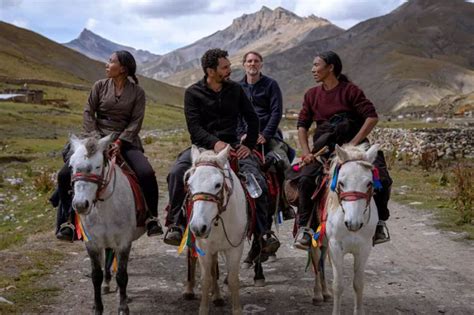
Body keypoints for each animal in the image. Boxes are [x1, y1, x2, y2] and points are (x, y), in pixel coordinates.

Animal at [67, 136, 143, 315]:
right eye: (71, 166)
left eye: (98, 166)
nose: (80, 205)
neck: (104, 206)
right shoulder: (92, 243)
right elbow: (96, 275)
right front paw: (97, 307)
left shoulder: (124, 242)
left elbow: (122, 275)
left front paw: (123, 307)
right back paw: (107, 283)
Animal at [183, 146, 246, 315]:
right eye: (189, 184)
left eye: (218, 184)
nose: (198, 227)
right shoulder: (203, 248)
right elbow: (205, 279)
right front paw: (203, 309)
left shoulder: (235, 249)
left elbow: (233, 279)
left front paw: (236, 309)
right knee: (193, 260)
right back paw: (189, 290)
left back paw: (217, 296)